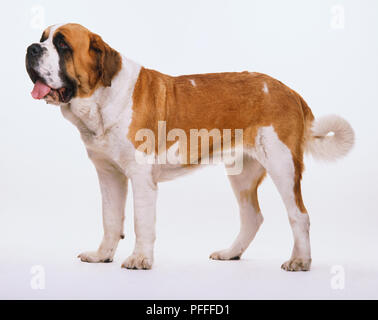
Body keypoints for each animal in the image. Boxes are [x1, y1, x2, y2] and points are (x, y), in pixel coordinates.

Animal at [25, 23, 354, 272]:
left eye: (62, 44)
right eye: (43, 38)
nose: (31, 48)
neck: (100, 97)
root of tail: (290, 90)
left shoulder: (141, 178)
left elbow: (141, 221)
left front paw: (140, 259)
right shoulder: (109, 175)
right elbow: (110, 217)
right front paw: (102, 255)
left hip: (282, 164)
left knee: (299, 215)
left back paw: (300, 261)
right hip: (242, 173)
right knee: (252, 216)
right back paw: (231, 253)